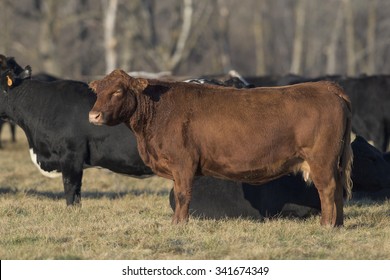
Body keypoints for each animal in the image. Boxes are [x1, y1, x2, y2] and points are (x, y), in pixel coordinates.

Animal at [88, 70, 354, 228]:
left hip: (321, 160)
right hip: (333, 162)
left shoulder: (183, 163)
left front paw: (179, 224)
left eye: (118, 91)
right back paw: (338, 224)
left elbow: (183, 195)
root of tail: (326, 86)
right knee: (337, 190)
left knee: (327, 190)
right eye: (97, 91)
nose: (93, 115)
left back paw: (326, 224)